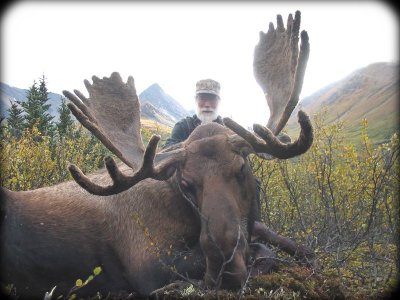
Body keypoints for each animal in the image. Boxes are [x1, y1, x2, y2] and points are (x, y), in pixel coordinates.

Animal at [0, 10, 312, 298]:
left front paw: (304, 252)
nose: (226, 267)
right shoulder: (148, 266)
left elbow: (268, 234)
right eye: (186, 183)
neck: (181, 206)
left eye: (241, 168)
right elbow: (262, 250)